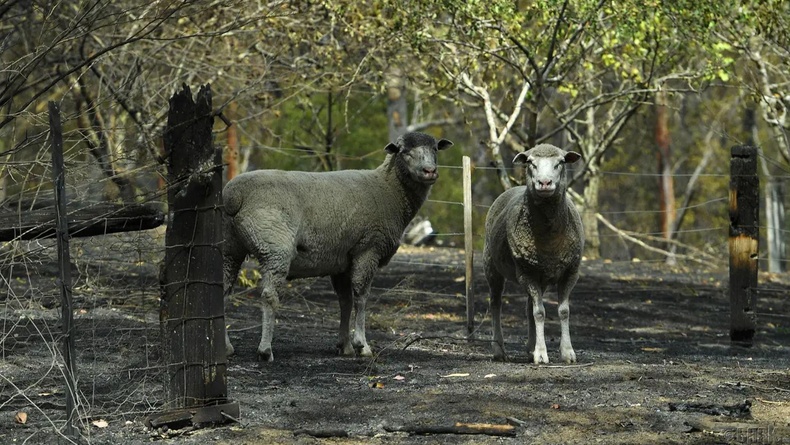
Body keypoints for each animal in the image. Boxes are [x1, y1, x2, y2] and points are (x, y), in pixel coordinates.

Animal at [223, 131, 454, 360]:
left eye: (435, 148)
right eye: (405, 151)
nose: (430, 171)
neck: (389, 189)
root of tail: (234, 194)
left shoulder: (342, 260)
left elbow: (345, 301)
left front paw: (345, 346)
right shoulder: (368, 248)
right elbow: (361, 297)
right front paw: (362, 345)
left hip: (229, 248)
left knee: (223, 291)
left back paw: (227, 347)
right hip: (274, 246)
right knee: (269, 295)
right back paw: (265, 350)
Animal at [482, 144, 588, 362]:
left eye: (560, 162)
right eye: (531, 163)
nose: (544, 182)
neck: (549, 240)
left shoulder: (570, 272)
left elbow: (563, 311)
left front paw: (567, 352)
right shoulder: (526, 272)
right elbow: (540, 313)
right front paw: (541, 354)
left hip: (541, 275)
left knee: (528, 307)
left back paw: (530, 347)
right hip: (492, 266)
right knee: (496, 303)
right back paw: (499, 349)